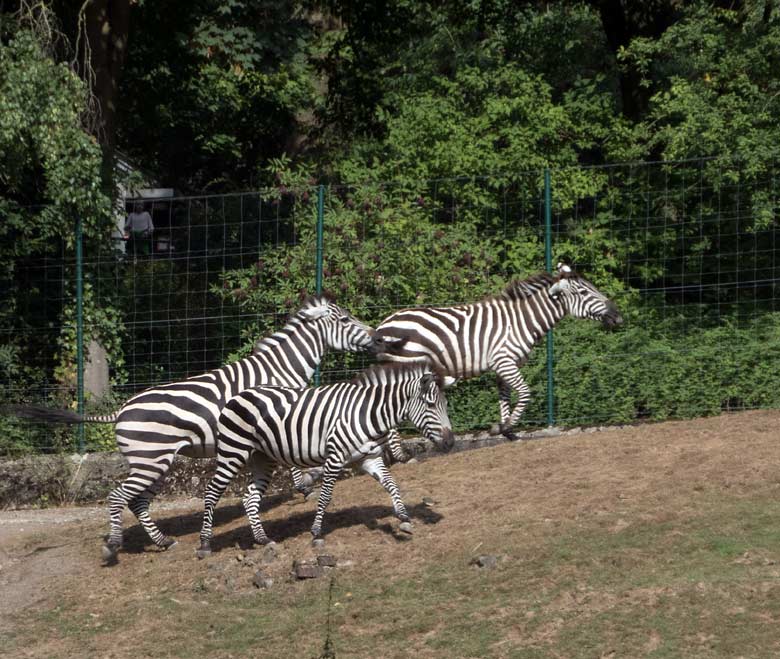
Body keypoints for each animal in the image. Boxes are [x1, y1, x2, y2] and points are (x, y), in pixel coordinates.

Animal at [8, 296, 374, 564]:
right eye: (345, 320)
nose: (376, 338)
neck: (277, 370)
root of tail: (120, 410)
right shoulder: (279, 419)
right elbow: (290, 459)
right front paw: (304, 485)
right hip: (151, 460)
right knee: (121, 497)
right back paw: (113, 545)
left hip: (155, 462)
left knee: (137, 502)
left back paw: (163, 541)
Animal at [195, 364, 454, 556]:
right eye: (431, 404)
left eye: (445, 405)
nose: (450, 443)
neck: (367, 413)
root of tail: (238, 395)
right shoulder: (335, 457)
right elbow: (326, 497)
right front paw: (317, 532)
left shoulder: (370, 458)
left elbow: (392, 484)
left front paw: (403, 517)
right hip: (233, 451)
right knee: (212, 492)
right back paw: (205, 543)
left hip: (263, 458)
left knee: (249, 498)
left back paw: (262, 539)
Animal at [372, 264, 620, 444]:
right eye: (584, 291)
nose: (619, 317)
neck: (521, 321)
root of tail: (383, 325)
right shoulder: (505, 361)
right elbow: (525, 393)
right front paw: (506, 426)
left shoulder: (504, 364)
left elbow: (505, 395)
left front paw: (504, 430)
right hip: (405, 363)